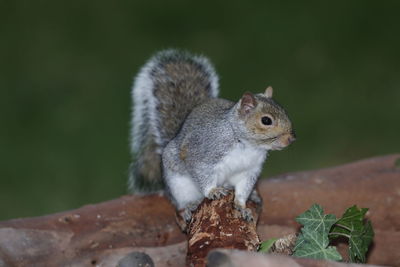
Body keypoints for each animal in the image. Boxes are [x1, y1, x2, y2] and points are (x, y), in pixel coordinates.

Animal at [128, 49, 294, 223]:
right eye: (266, 120)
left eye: (284, 110)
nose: (291, 138)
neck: (247, 145)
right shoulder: (204, 152)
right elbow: (202, 173)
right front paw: (213, 191)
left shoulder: (249, 171)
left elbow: (242, 190)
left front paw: (242, 206)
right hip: (178, 185)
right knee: (180, 203)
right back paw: (188, 208)